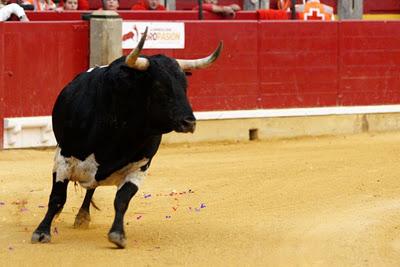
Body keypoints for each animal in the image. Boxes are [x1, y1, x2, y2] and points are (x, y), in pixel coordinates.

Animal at [31, 29, 223, 249]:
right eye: (159, 86)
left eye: (185, 86)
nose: (189, 122)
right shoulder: (63, 158)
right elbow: (57, 198)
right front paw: (42, 232)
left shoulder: (139, 167)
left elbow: (122, 200)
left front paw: (117, 235)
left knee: (92, 189)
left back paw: (83, 217)